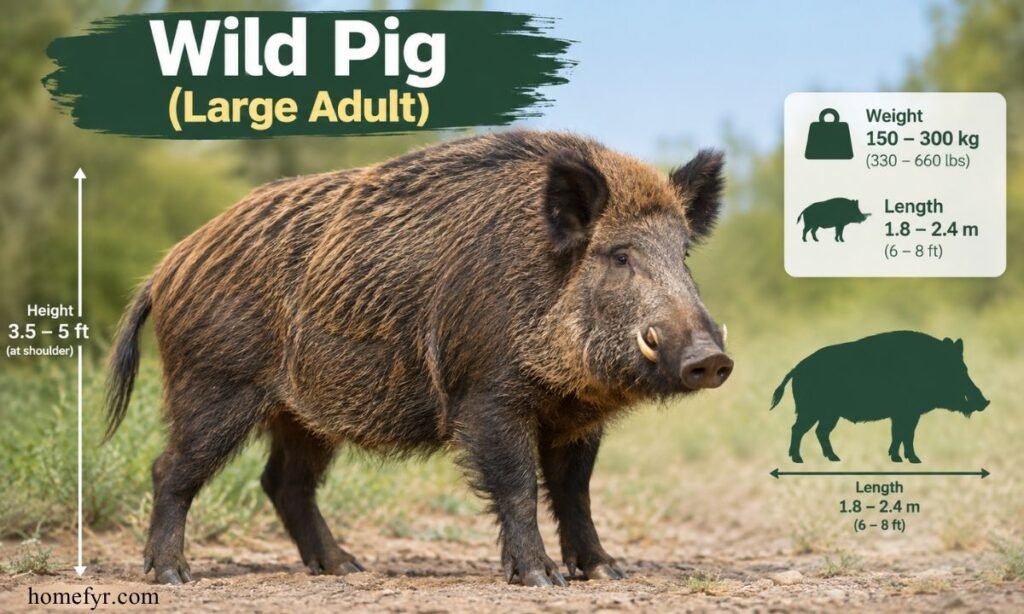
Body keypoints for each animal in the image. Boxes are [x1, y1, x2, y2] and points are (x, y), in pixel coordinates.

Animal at [105, 131, 733, 587]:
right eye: (620, 255)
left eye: (683, 254)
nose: (710, 360)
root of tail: (168, 266)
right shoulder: (487, 397)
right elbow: (518, 486)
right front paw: (541, 579)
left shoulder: (577, 416)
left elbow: (575, 493)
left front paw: (607, 572)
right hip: (213, 385)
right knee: (171, 469)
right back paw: (173, 576)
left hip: (303, 414)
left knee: (283, 482)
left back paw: (346, 568)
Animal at [769, 331, 989, 463]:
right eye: (954, 371)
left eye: (964, 369)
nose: (985, 401)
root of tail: (797, 368)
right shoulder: (908, 412)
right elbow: (906, 434)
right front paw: (913, 460)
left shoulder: (902, 414)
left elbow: (899, 434)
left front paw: (899, 459)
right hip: (811, 410)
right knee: (798, 429)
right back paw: (798, 459)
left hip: (828, 414)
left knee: (819, 432)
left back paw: (834, 458)